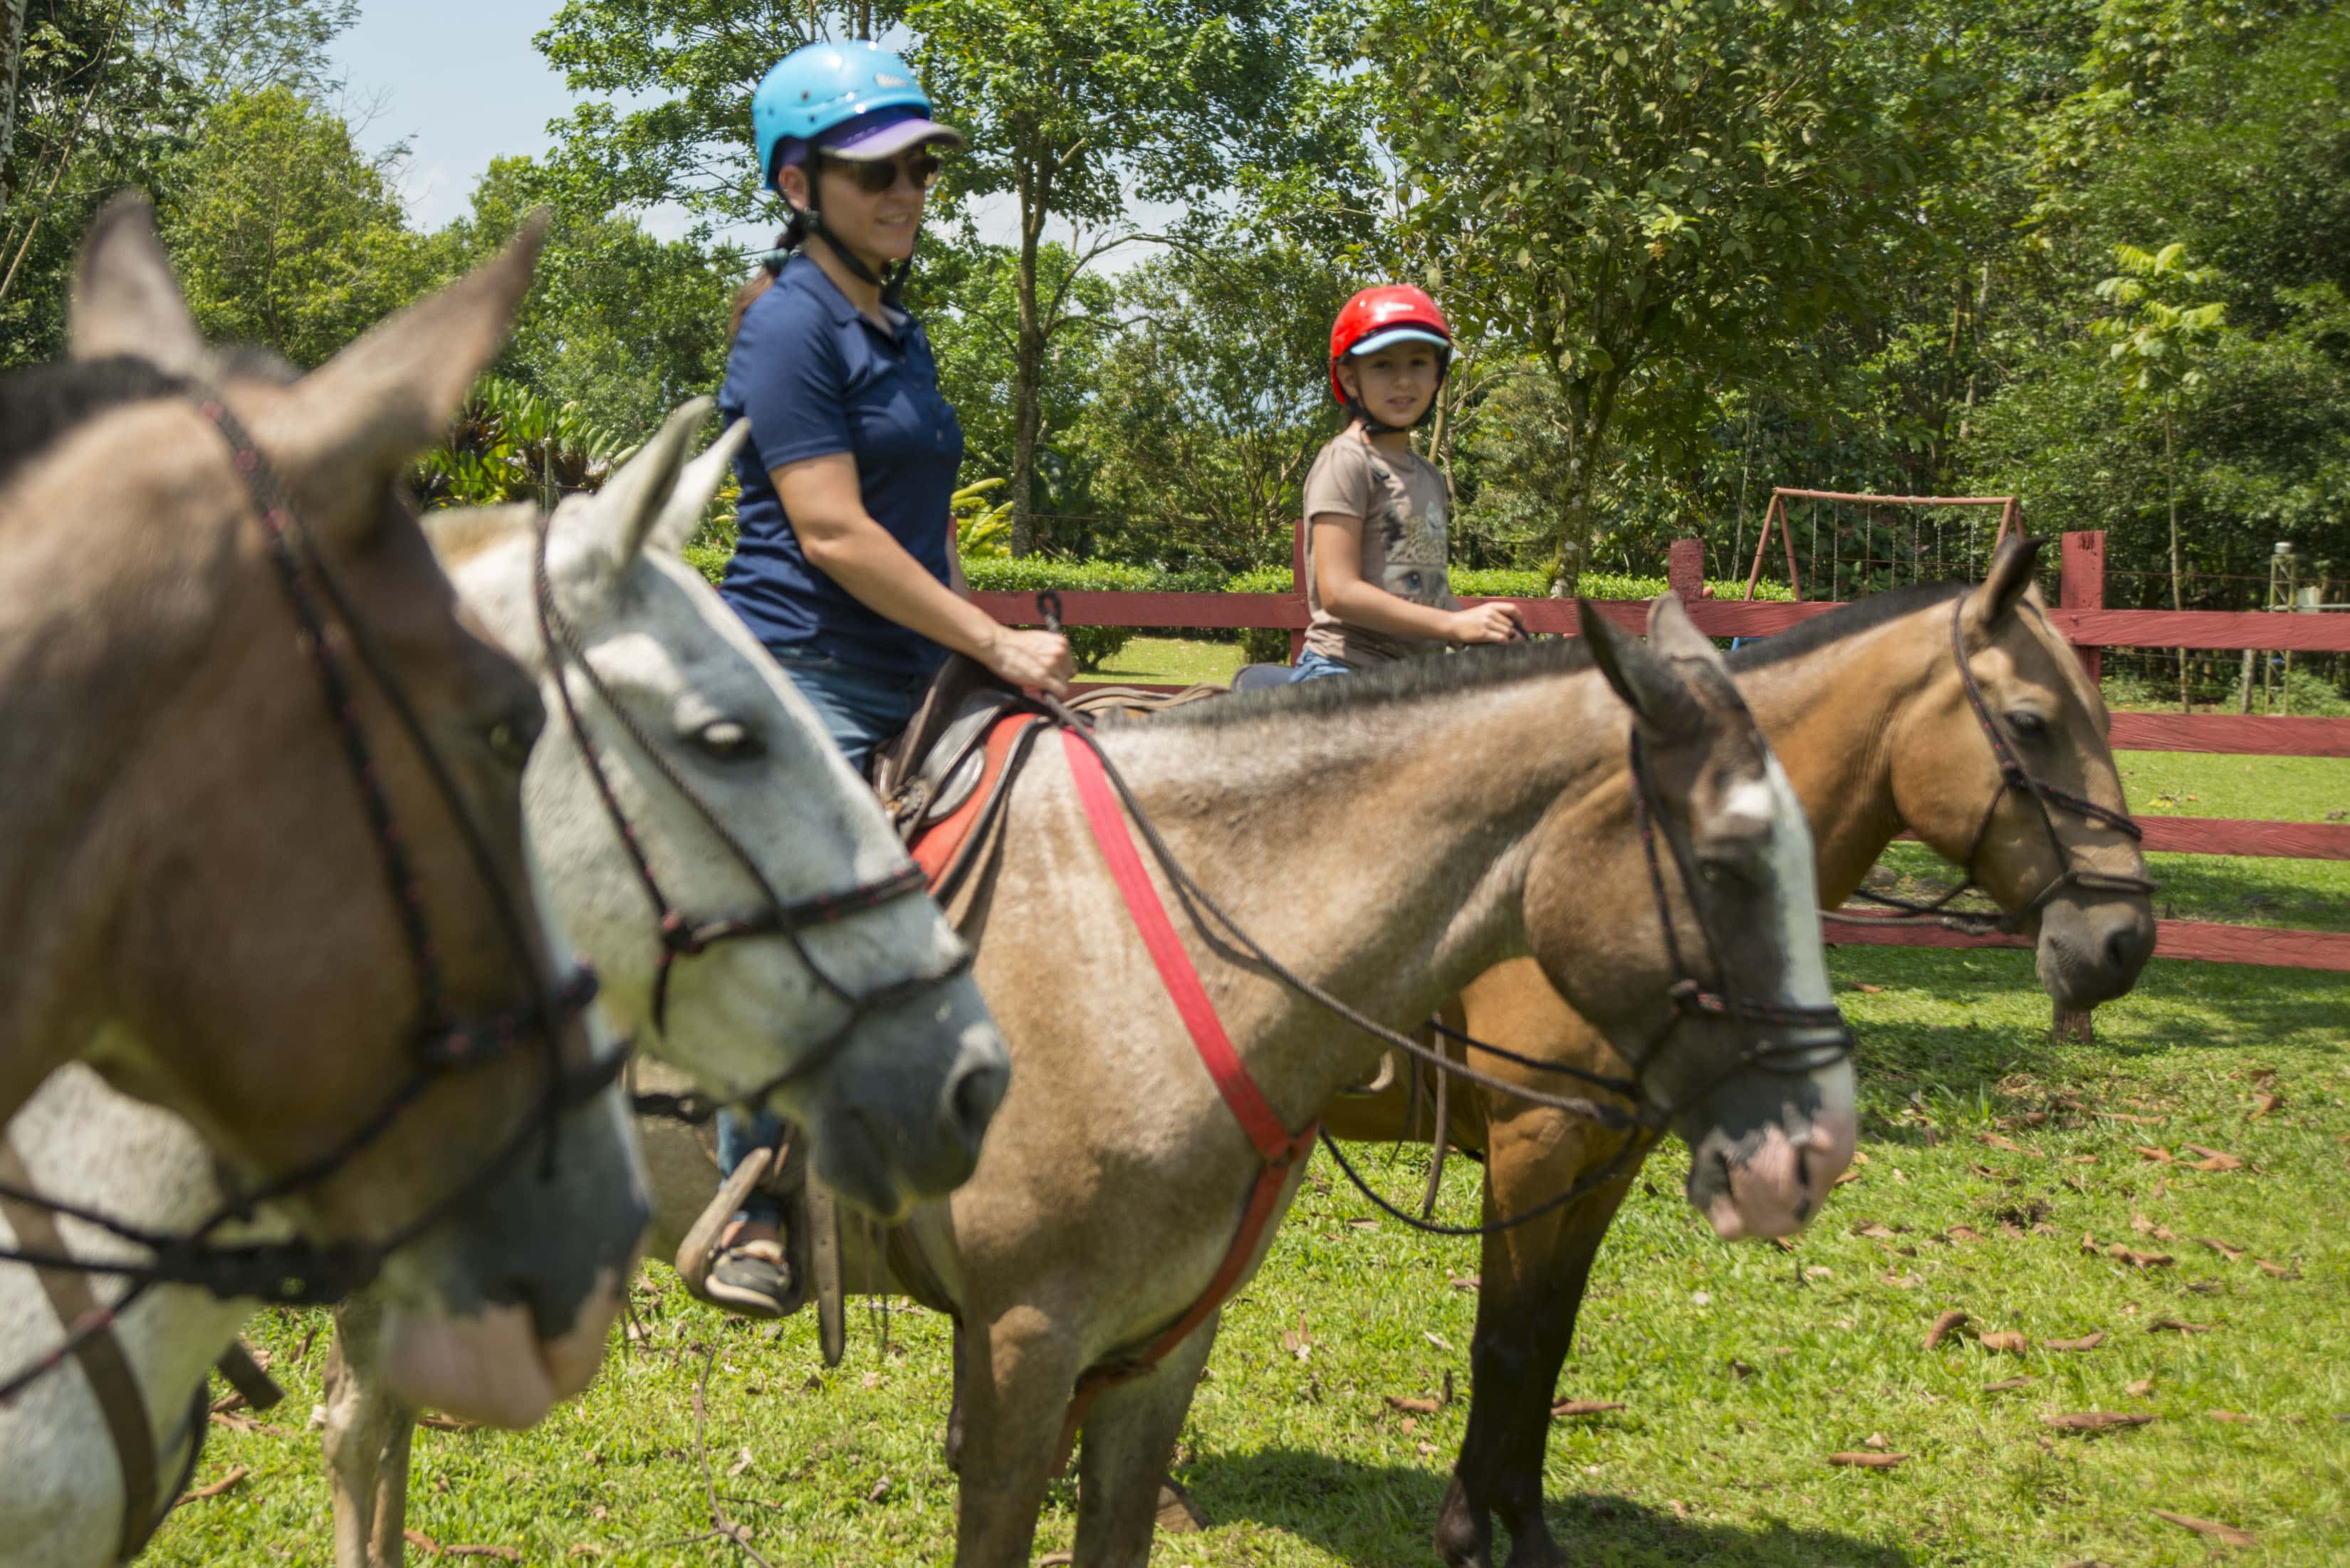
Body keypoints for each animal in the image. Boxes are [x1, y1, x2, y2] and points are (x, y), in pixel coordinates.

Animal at [1316, 543, 2152, 1568]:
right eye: (2031, 723)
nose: (2122, 940)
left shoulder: (1605, 1160)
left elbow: (1548, 1341)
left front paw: (1530, 1531)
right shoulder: (1531, 1144)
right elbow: (1501, 1344)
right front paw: (1467, 1536)